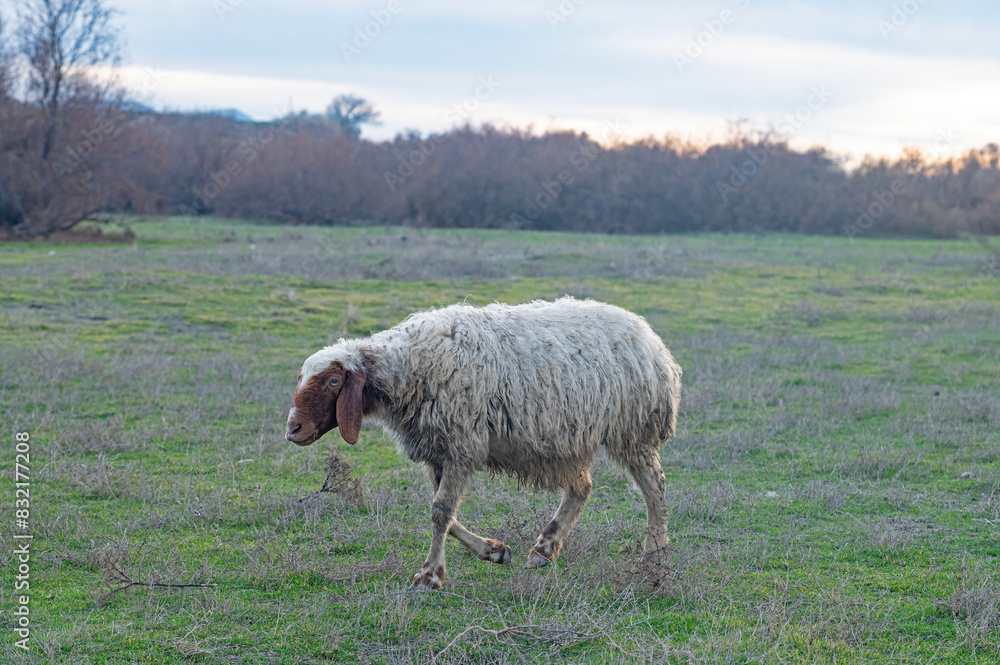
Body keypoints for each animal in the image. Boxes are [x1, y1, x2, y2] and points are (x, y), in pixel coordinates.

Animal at [285, 296, 682, 590]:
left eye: (334, 382)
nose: (293, 429)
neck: (408, 367)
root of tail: (650, 338)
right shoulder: (440, 450)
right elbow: (446, 513)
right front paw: (494, 550)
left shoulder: (462, 445)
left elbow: (440, 511)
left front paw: (429, 575)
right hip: (572, 439)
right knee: (582, 489)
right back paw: (545, 548)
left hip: (633, 432)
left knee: (654, 489)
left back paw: (655, 557)